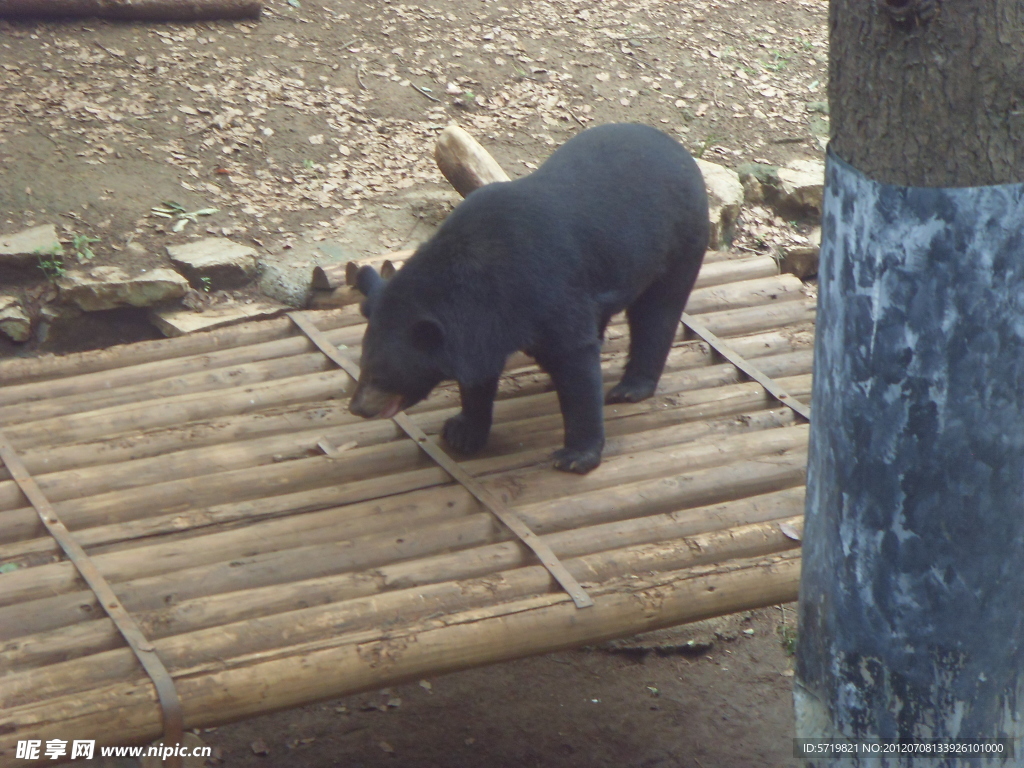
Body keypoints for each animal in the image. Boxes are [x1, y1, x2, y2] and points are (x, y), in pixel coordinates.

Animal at [348, 122, 708, 473]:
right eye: (363, 365)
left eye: (380, 373)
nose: (358, 407)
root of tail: (679, 150)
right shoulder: (484, 325)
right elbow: (479, 377)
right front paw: (463, 432)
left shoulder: (546, 287)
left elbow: (575, 357)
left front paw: (576, 455)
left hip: (679, 241)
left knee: (657, 314)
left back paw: (631, 387)